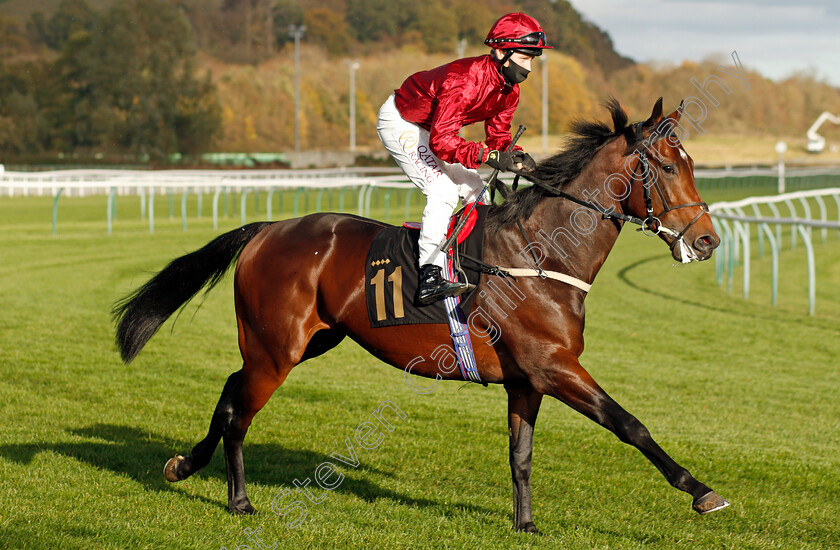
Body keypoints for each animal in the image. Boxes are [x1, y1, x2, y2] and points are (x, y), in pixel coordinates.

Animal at [113, 99, 728, 536]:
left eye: (693, 164)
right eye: (667, 166)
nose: (708, 241)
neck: (541, 255)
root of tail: (266, 229)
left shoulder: (527, 380)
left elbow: (521, 455)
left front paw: (525, 523)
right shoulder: (555, 366)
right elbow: (630, 424)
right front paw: (702, 490)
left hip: (306, 341)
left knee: (228, 392)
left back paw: (183, 465)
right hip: (276, 349)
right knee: (240, 412)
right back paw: (239, 501)